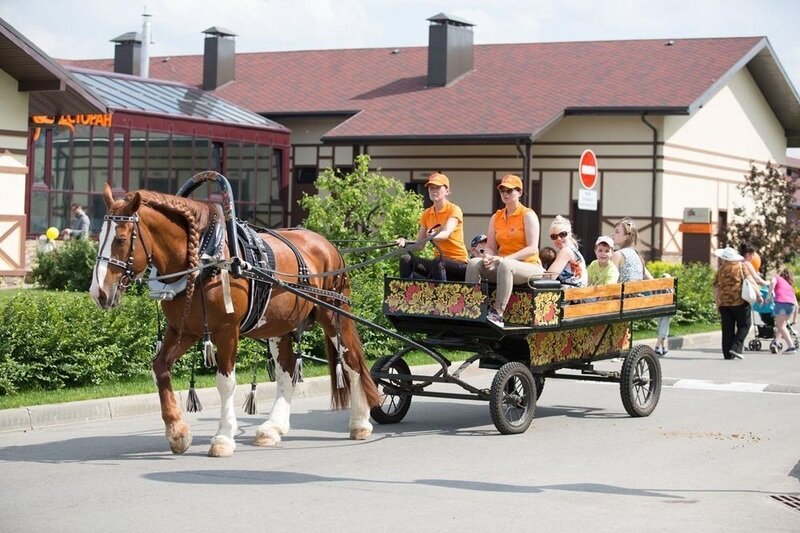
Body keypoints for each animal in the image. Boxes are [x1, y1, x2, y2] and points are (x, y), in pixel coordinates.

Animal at [89, 183, 380, 457]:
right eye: (100, 237)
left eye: (121, 239)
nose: (99, 292)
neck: (205, 260)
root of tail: (328, 244)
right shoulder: (183, 330)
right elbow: (160, 368)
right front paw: (177, 432)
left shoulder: (227, 330)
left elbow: (225, 381)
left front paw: (223, 438)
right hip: (280, 325)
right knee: (287, 373)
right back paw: (272, 428)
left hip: (334, 314)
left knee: (353, 363)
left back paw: (360, 422)